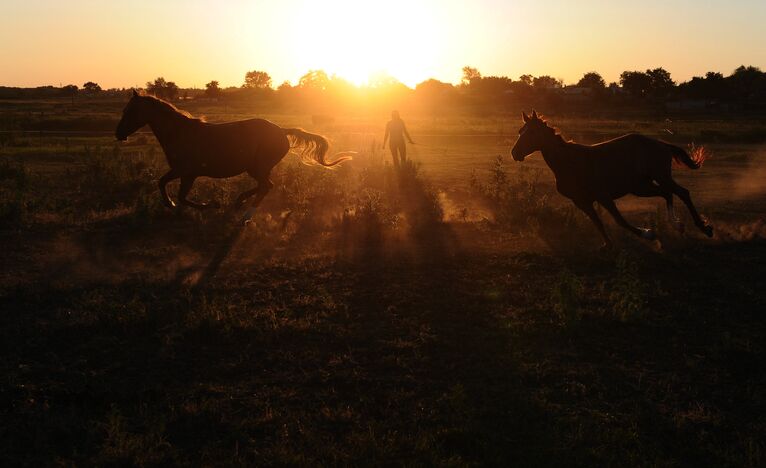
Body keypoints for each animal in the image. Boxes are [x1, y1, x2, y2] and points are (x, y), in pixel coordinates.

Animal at [115, 90, 352, 220]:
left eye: (130, 110)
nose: (118, 134)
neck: (180, 133)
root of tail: (282, 131)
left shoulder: (186, 172)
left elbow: (177, 193)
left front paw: (207, 205)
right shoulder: (182, 172)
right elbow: (162, 183)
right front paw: (172, 204)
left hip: (258, 167)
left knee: (266, 186)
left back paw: (245, 214)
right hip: (257, 168)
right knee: (267, 185)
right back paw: (239, 202)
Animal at [510, 111, 712, 249]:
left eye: (532, 132)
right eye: (520, 131)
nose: (514, 153)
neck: (569, 162)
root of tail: (661, 144)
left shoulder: (603, 196)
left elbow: (619, 220)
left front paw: (648, 234)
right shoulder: (581, 202)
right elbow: (597, 223)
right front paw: (607, 244)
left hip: (660, 177)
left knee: (682, 193)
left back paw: (704, 227)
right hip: (641, 187)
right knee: (667, 194)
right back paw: (678, 225)